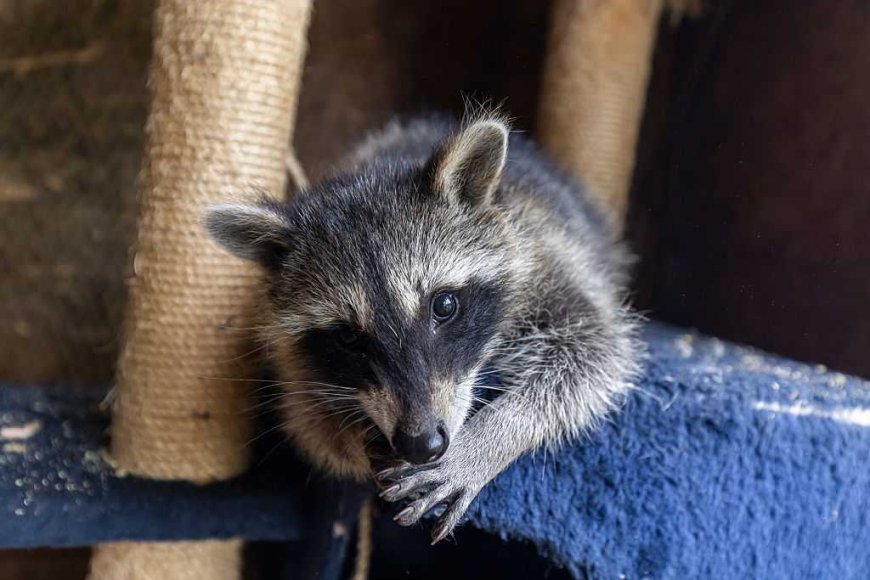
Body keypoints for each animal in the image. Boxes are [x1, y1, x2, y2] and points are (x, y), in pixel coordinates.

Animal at [206, 112, 638, 543]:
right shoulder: (293, 356)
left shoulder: (546, 257)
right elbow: (307, 418)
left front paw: (488, 438)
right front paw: (349, 438)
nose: (422, 444)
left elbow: (591, 353)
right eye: (347, 336)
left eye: (444, 305)